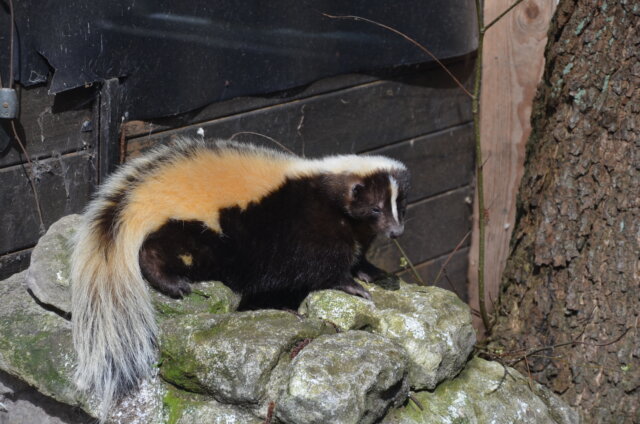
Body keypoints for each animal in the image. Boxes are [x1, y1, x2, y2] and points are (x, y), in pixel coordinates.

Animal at [70, 137, 410, 416]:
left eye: (400, 207)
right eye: (376, 208)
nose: (396, 232)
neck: (328, 191)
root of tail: (143, 199)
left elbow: (356, 258)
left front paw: (372, 272)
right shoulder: (310, 228)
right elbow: (325, 266)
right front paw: (352, 286)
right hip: (199, 230)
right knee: (155, 251)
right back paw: (173, 284)